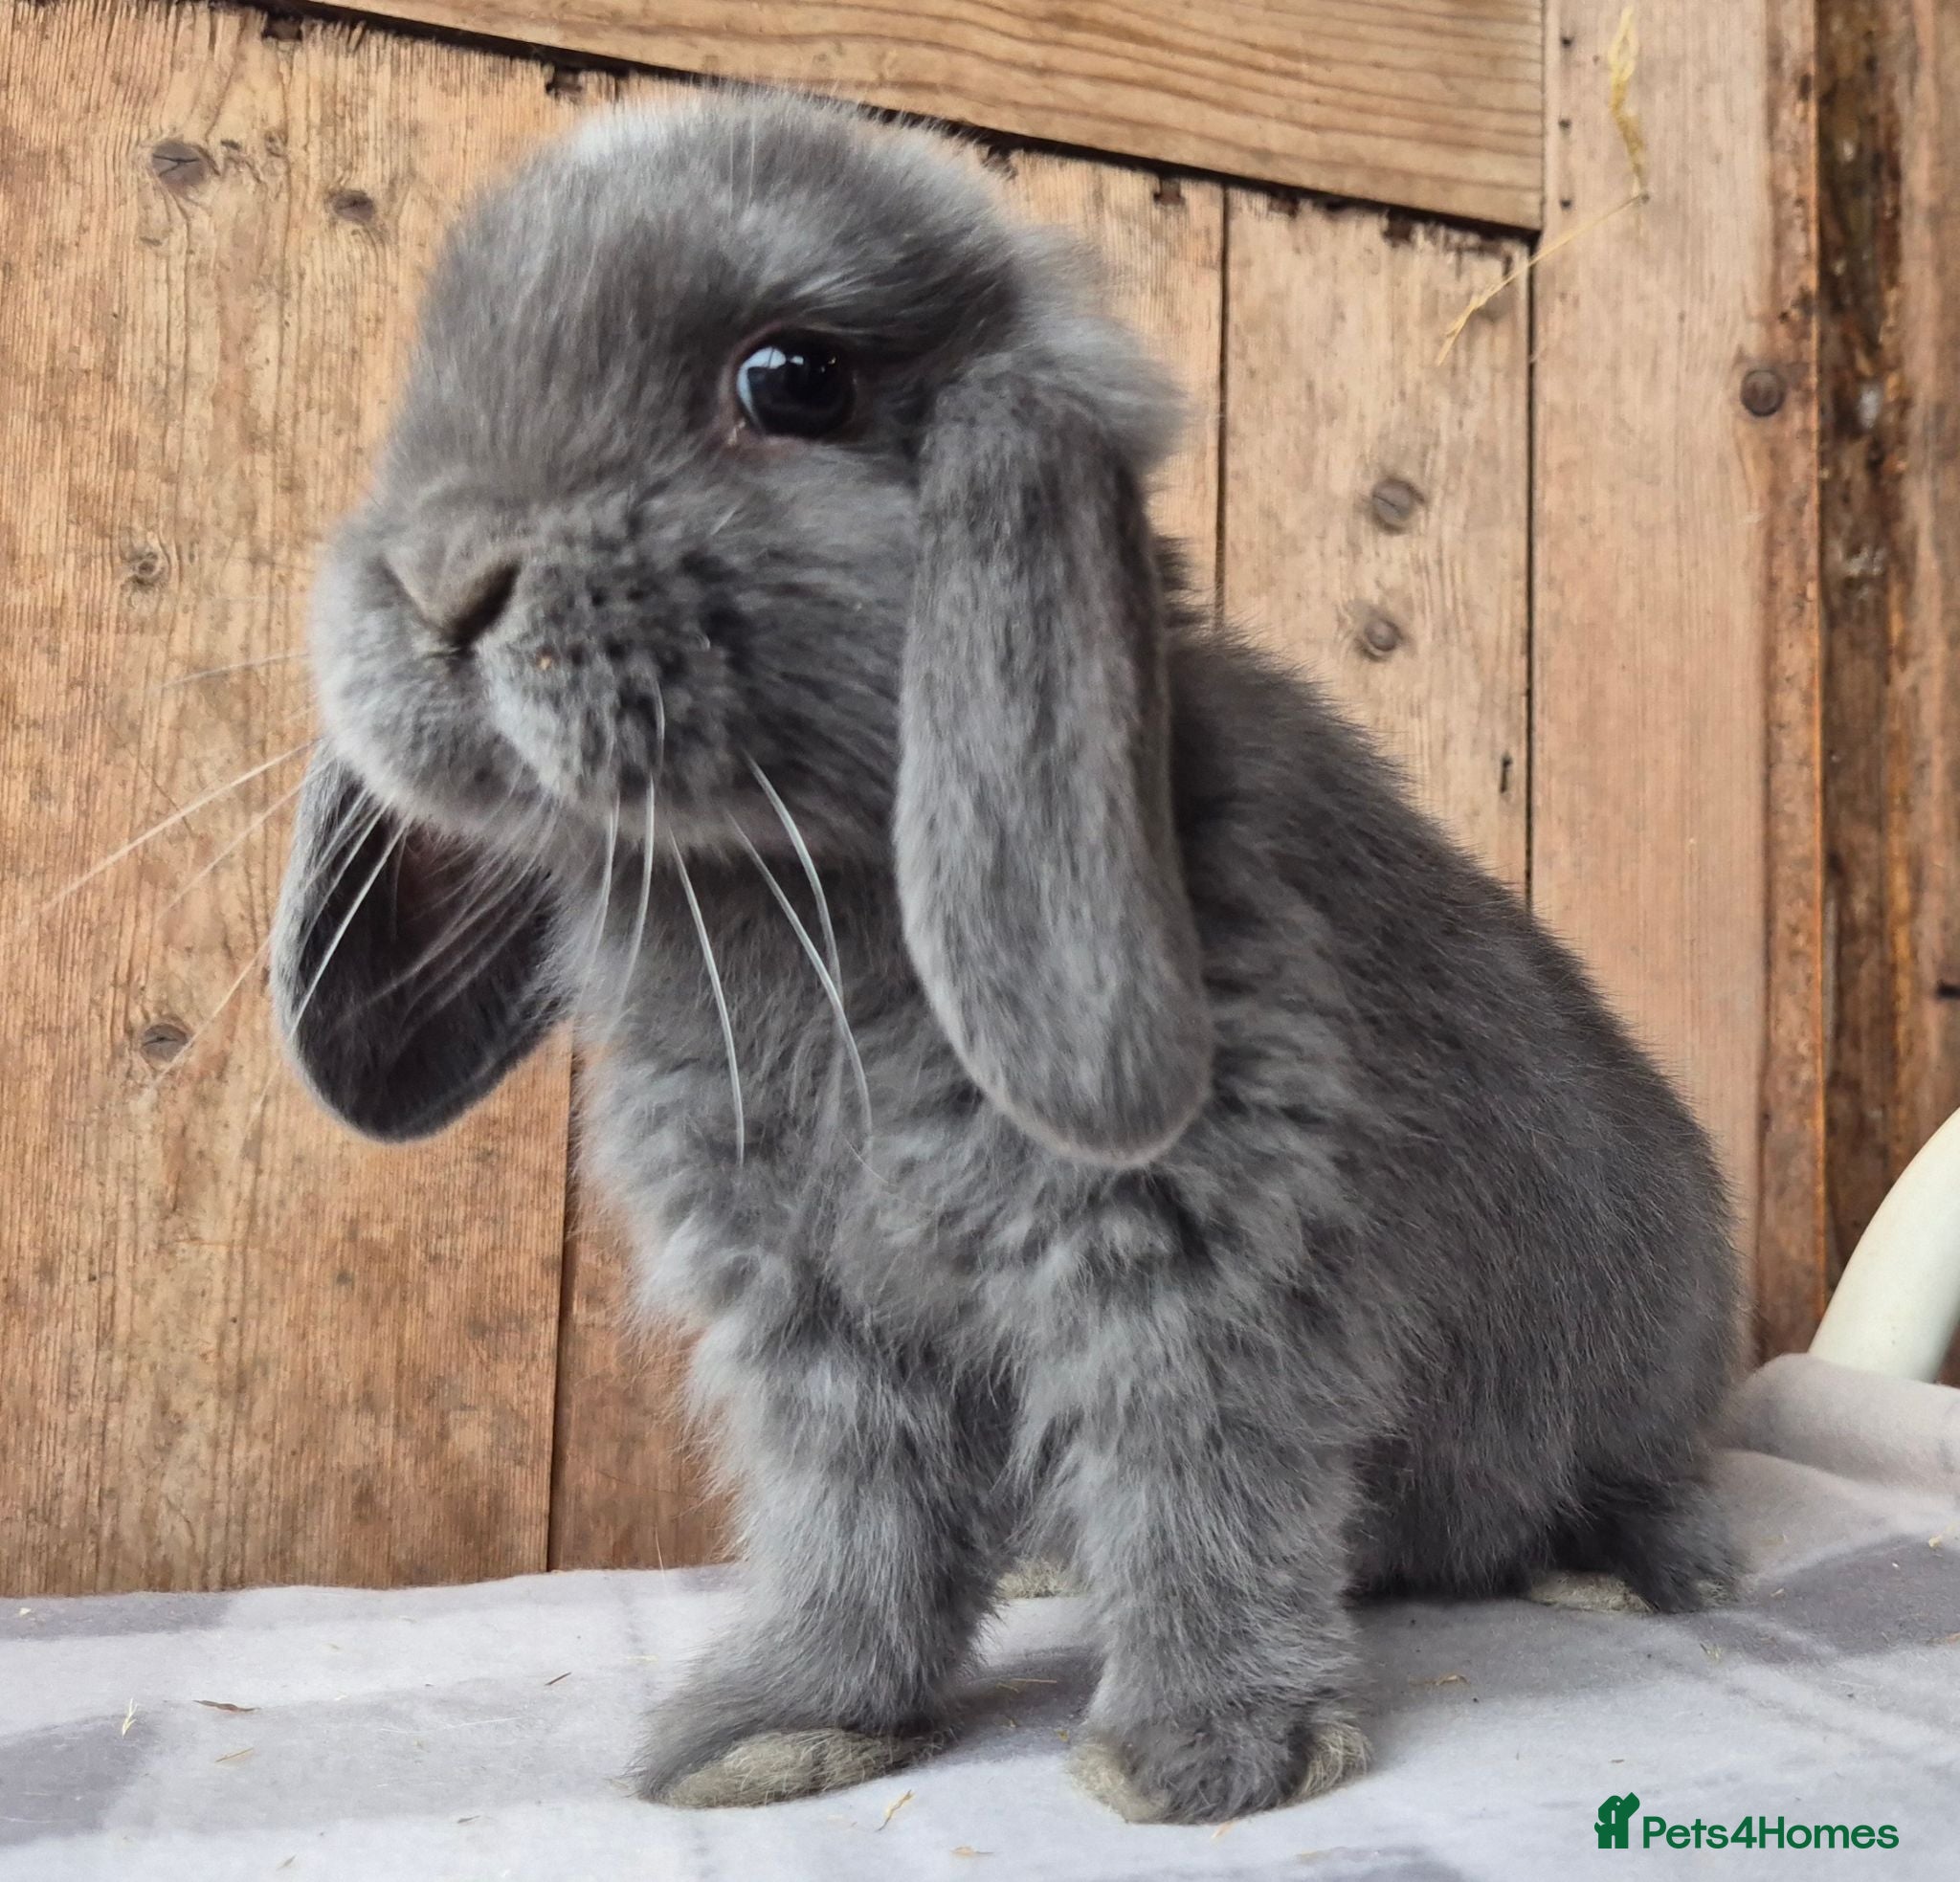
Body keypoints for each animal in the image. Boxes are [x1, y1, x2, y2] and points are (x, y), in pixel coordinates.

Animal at [270, 92, 1741, 1826]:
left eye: (792, 378)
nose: (442, 578)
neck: (799, 904)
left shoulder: (1193, 1277)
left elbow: (1201, 1496)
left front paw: (1200, 1755)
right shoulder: (821, 1334)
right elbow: (856, 1532)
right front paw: (775, 1730)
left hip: (1641, 1359)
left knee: (1636, 1472)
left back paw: (1630, 1569)